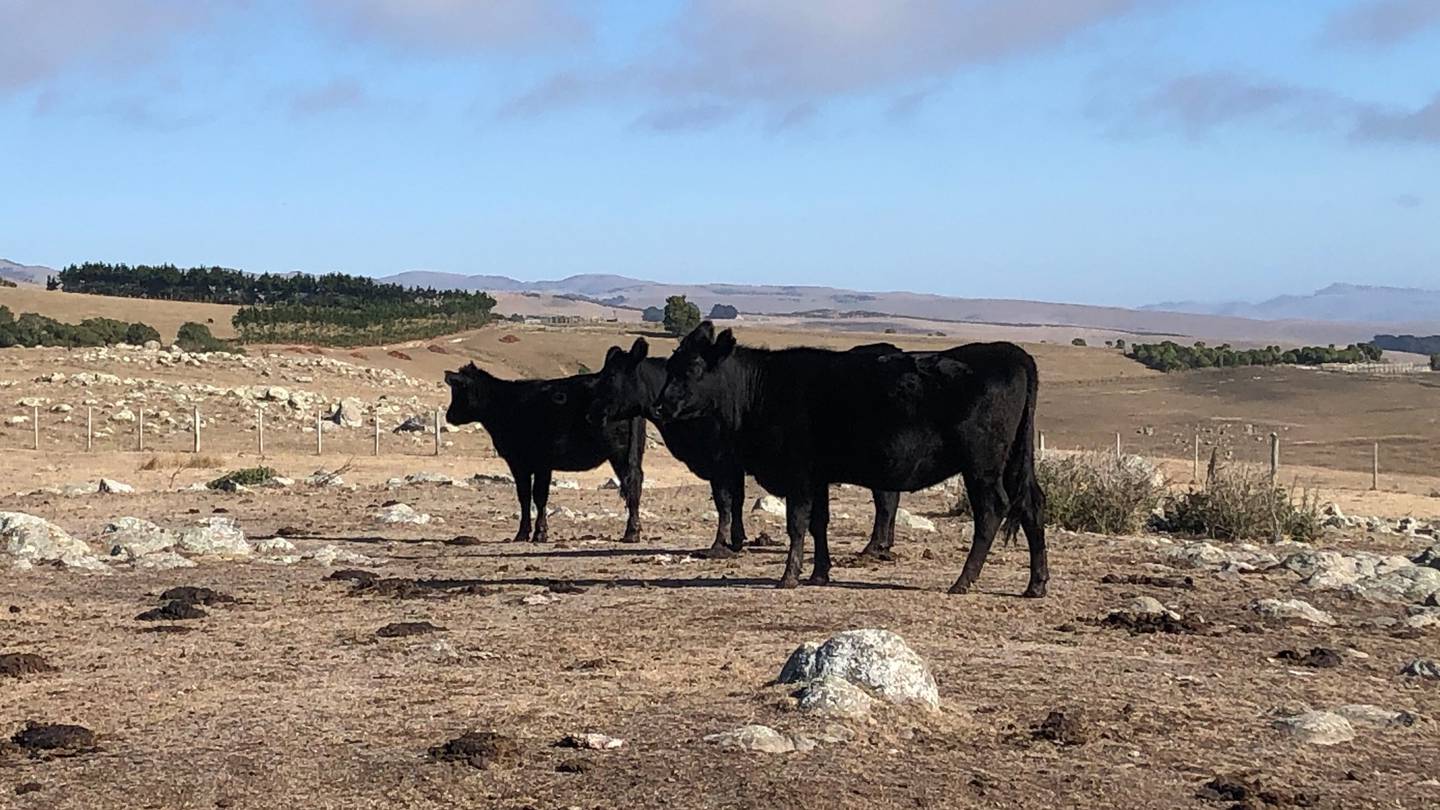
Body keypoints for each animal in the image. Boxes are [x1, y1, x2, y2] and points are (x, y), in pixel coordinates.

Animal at [437, 364, 642, 541]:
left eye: (459, 390)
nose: (449, 416)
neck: (504, 404)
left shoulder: (525, 462)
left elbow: (532, 495)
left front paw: (531, 533)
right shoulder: (538, 464)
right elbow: (532, 496)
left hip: (619, 454)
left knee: (631, 485)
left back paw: (631, 533)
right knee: (635, 483)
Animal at [590, 337, 904, 559]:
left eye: (611, 377)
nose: (593, 411)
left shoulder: (720, 461)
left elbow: (725, 501)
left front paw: (719, 544)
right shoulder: (731, 465)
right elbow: (736, 501)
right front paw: (737, 540)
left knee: (885, 500)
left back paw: (873, 546)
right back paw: (884, 545)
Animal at [656, 319, 1048, 593]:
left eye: (691, 368)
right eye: (670, 366)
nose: (660, 406)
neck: (763, 389)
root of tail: (1012, 353)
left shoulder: (798, 473)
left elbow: (797, 523)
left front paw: (789, 576)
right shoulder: (818, 476)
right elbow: (819, 523)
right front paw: (819, 573)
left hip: (982, 465)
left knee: (992, 510)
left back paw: (964, 580)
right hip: (1013, 461)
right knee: (1031, 504)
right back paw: (1036, 584)